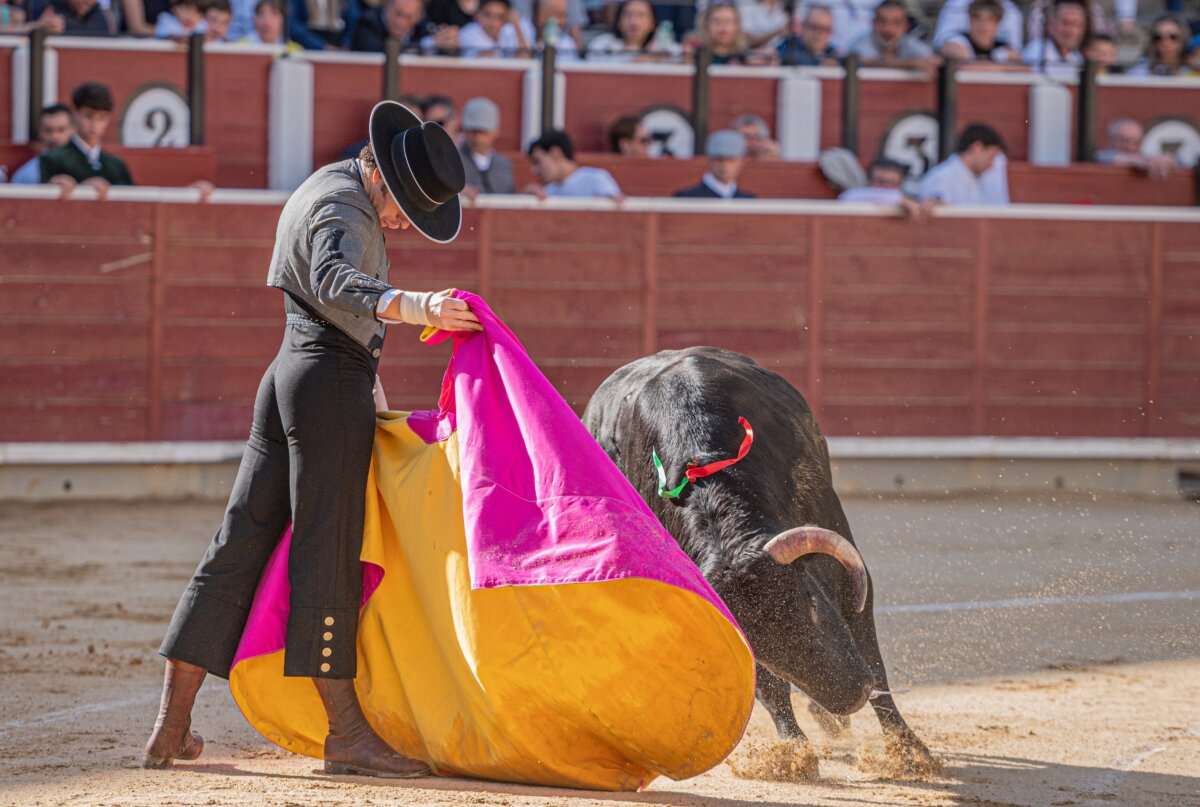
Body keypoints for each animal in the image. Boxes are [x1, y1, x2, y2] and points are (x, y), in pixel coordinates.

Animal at [583, 347, 936, 772]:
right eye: (757, 646)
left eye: (811, 604)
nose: (852, 696)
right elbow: (768, 687)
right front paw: (795, 753)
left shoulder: (849, 571)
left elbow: (873, 656)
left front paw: (910, 751)